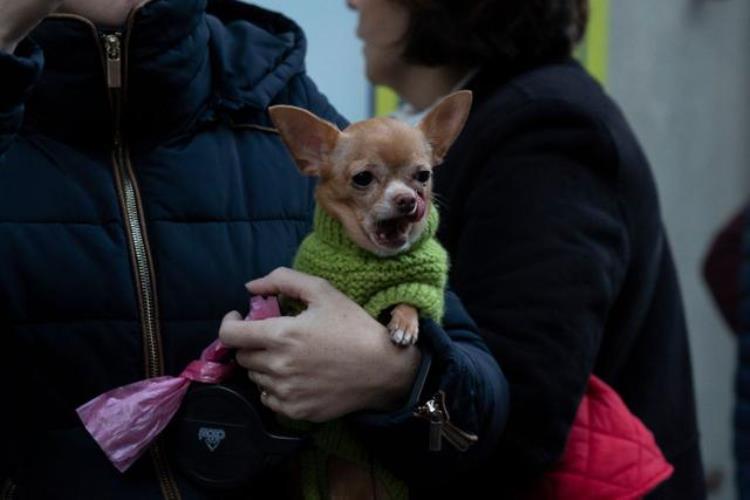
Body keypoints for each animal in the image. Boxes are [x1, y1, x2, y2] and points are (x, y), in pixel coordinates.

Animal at [268, 92, 472, 346]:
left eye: (424, 175)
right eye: (363, 178)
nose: (407, 199)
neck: (373, 257)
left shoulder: (422, 286)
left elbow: (410, 300)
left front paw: (404, 323)